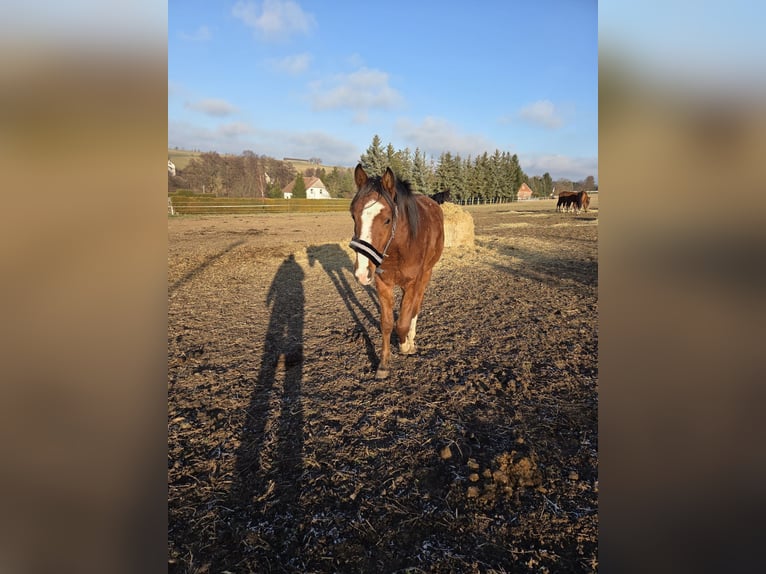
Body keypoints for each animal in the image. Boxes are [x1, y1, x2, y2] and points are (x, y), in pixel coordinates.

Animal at [349, 164, 444, 379]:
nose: (362, 272)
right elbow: (387, 323)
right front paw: (383, 364)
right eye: (353, 215)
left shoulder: (412, 282)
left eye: (387, 219)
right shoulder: (383, 283)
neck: (400, 246)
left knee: (416, 306)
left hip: (426, 274)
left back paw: (411, 338)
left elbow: (402, 322)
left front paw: (405, 346)